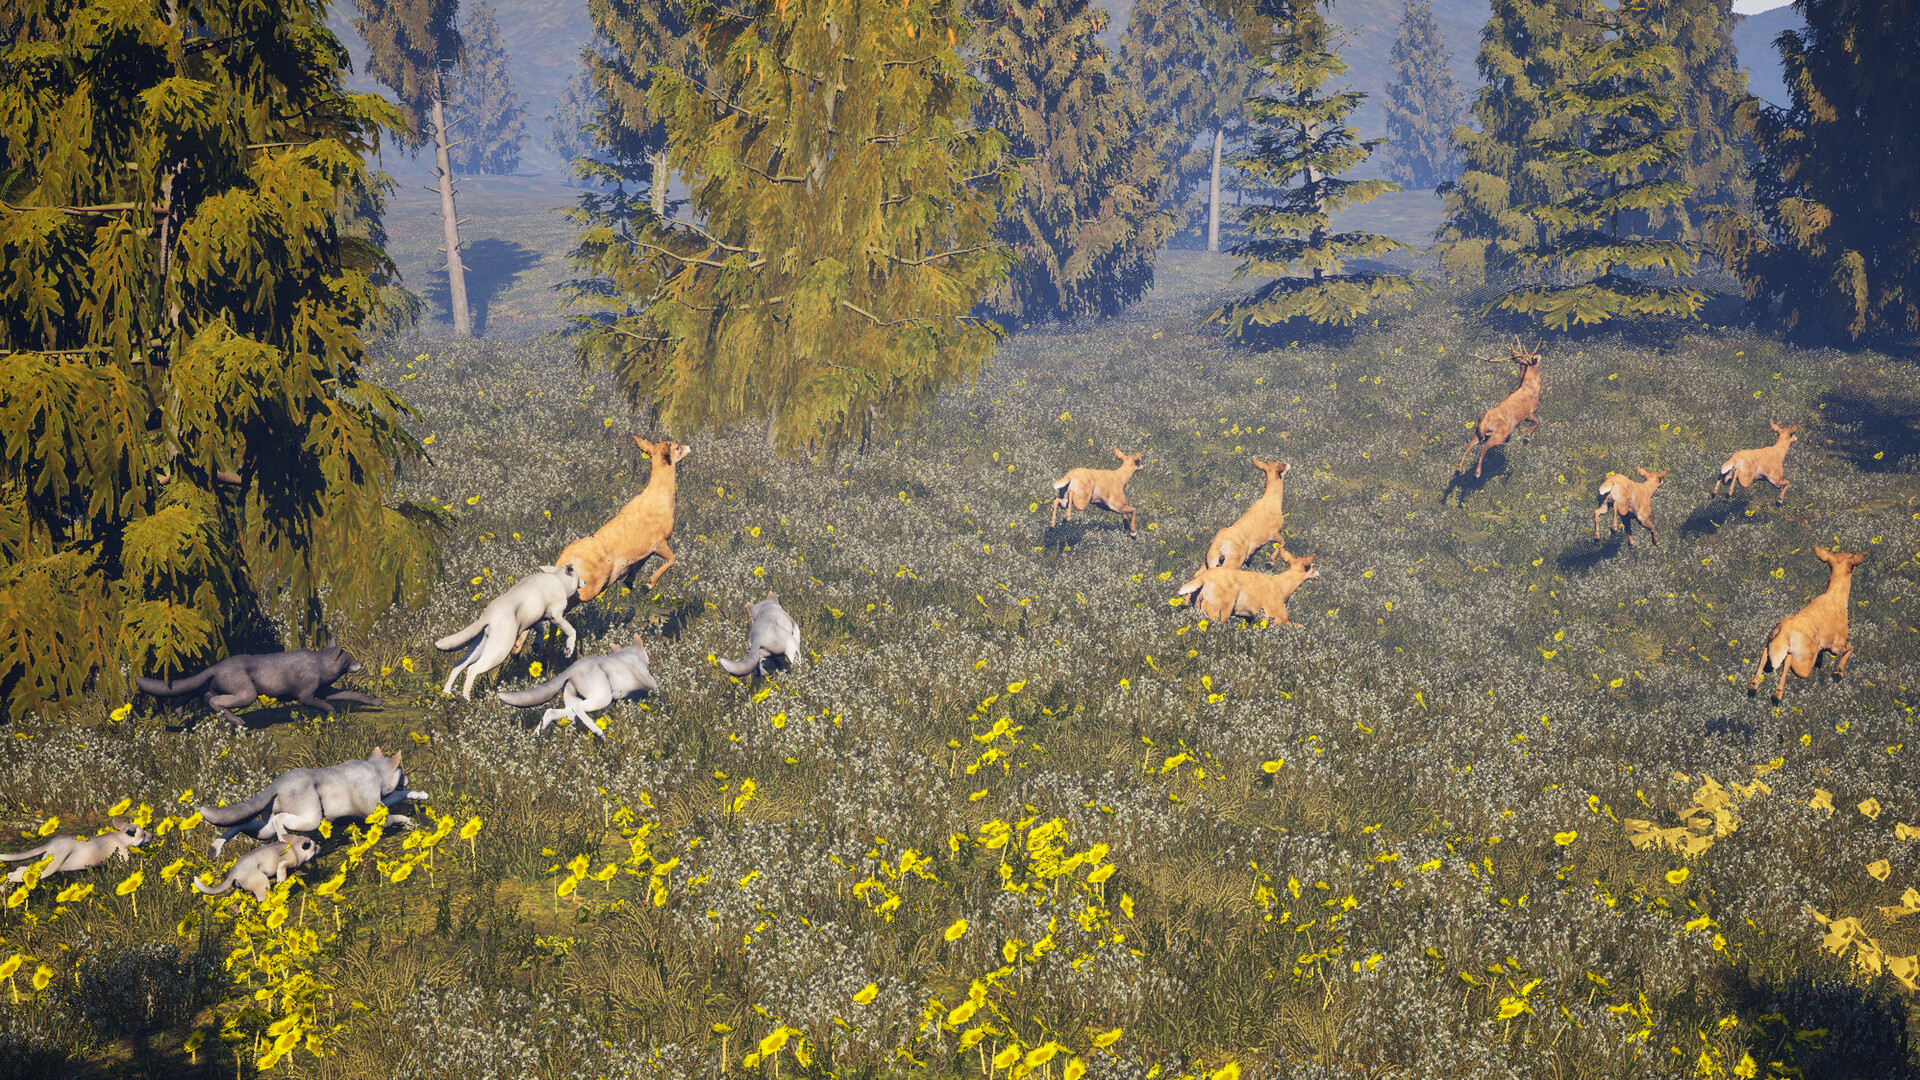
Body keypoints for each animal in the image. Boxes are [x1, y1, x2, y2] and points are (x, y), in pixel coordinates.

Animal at [3, 820, 151, 883]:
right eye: (143, 834)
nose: (153, 836)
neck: (120, 838)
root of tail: (51, 842)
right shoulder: (124, 862)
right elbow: (139, 863)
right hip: (49, 868)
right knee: (15, 875)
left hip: (45, 863)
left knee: (21, 869)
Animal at [134, 640, 379, 727]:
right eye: (349, 658)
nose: (361, 663)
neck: (320, 664)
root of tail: (217, 666)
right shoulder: (306, 696)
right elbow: (327, 705)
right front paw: (334, 717)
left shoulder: (325, 690)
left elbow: (352, 694)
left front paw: (375, 702)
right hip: (247, 693)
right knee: (214, 701)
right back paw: (237, 721)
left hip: (213, 686)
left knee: (195, 693)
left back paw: (178, 712)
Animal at [198, 747, 426, 857]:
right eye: (402, 770)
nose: (408, 779)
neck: (376, 771)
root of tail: (277, 784)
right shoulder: (376, 815)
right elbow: (396, 815)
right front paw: (410, 823)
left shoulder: (383, 801)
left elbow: (400, 796)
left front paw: (420, 794)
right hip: (312, 817)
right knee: (281, 822)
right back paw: (286, 839)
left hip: (265, 828)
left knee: (243, 823)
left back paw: (215, 847)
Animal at [435, 564, 582, 699]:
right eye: (578, 576)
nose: (584, 582)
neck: (557, 579)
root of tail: (489, 615)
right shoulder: (555, 616)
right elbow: (571, 631)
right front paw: (569, 649)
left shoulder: (534, 618)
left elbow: (539, 628)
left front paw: (537, 644)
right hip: (498, 652)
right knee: (473, 669)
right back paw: (466, 699)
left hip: (480, 648)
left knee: (459, 663)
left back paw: (447, 693)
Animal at [498, 635, 660, 738]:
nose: (649, 660)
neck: (629, 653)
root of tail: (573, 668)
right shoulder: (650, 684)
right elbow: (658, 694)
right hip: (602, 697)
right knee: (579, 708)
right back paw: (597, 732)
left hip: (571, 710)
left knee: (551, 712)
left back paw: (535, 738)